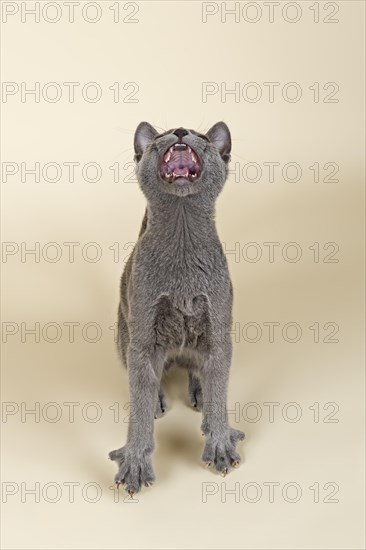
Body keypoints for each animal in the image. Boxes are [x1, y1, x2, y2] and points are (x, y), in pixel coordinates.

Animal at [108, 123, 246, 498]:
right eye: (161, 137)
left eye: (202, 135)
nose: (180, 130)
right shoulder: (142, 334)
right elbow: (139, 399)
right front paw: (135, 464)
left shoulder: (219, 326)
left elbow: (220, 388)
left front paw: (220, 444)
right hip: (122, 335)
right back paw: (160, 397)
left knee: (200, 369)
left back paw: (198, 391)